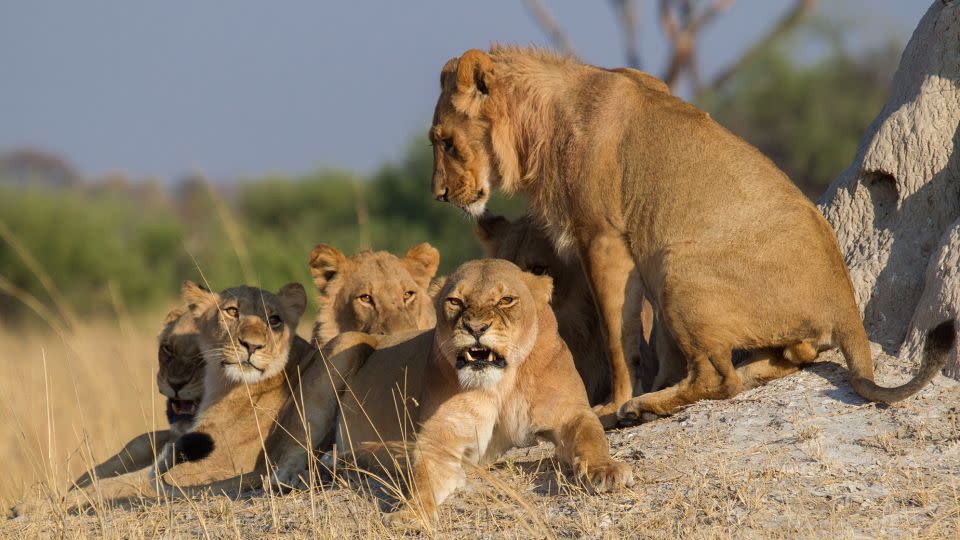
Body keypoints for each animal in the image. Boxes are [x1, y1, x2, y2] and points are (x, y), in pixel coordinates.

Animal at [432, 46, 956, 424]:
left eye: (445, 142)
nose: (439, 195)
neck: (543, 119)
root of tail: (844, 298)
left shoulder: (604, 239)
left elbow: (618, 333)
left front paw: (615, 403)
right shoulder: (637, 247)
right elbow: (658, 341)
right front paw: (657, 381)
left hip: (677, 264)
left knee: (719, 379)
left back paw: (642, 408)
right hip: (675, 267)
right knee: (785, 358)